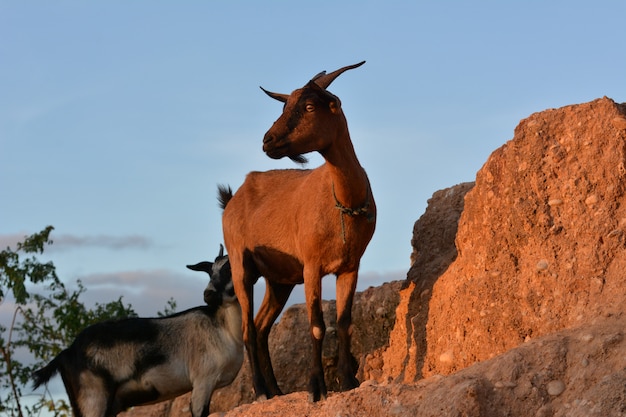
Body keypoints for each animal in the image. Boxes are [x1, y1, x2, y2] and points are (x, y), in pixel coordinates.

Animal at [31, 245, 241, 416]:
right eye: (210, 272)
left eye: (230, 268)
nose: (208, 294)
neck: (224, 327)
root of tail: (68, 352)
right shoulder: (203, 381)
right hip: (93, 398)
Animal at [219, 61, 372, 400]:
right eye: (284, 105)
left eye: (310, 106)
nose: (268, 140)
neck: (343, 201)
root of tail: (233, 197)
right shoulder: (311, 266)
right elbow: (316, 325)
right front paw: (317, 387)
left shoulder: (350, 267)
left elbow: (344, 323)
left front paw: (348, 381)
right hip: (240, 265)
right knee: (248, 328)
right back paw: (261, 391)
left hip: (279, 280)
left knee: (262, 327)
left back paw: (277, 390)